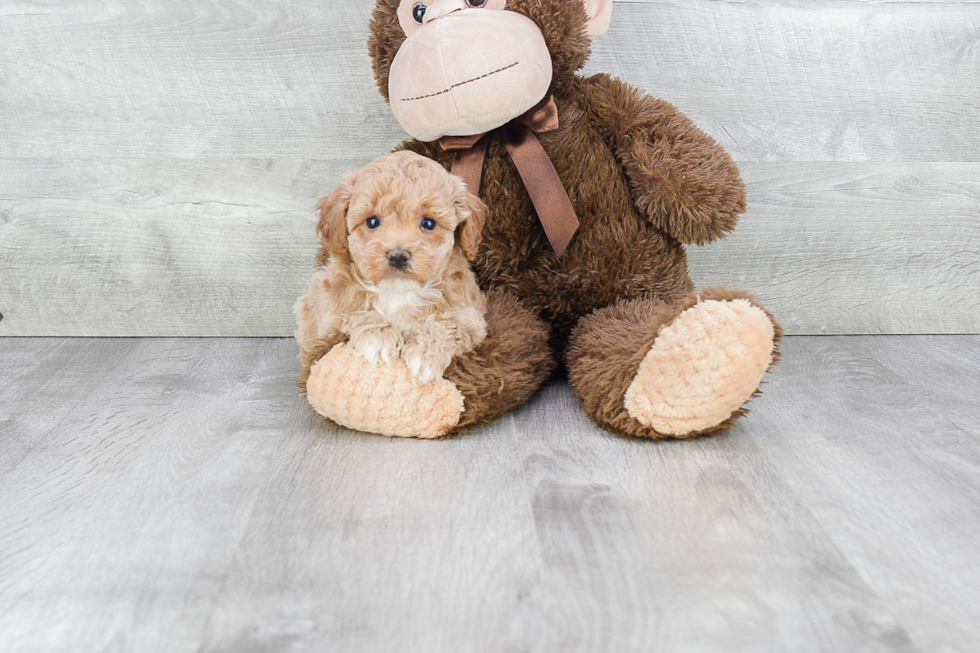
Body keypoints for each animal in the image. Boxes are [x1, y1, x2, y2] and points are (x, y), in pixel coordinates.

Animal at [292, 150, 488, 384]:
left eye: (429, 223)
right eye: (372, 221)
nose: (398, 256)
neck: (399, 292)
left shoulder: (472, 321)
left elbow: (447, 324)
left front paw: (425, 354)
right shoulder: (322, 315)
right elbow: (356, 312)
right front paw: (378, 338)